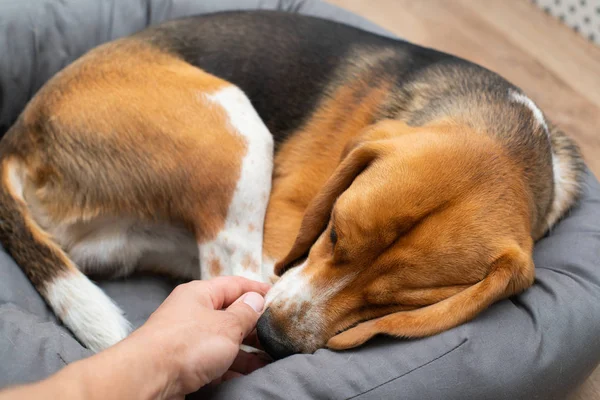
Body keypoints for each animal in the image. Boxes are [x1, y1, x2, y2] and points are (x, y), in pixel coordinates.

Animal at [0, 10, 584, 360]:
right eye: (332, 232)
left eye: (395, 302)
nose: (270, 336)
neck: (510, 125)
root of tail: (20, 135)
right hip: (240, 131)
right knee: (233, 269)